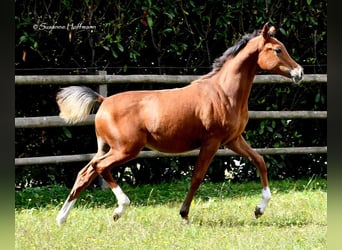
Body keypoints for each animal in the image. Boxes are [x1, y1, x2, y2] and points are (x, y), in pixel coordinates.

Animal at [55, 23, 302, 226]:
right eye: (277, 50)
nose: (299, 72)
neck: (223, 92)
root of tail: (103, 101)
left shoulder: (233, 139)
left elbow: (260, 160)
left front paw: (259, 209)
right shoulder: (212, 141)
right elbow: (197, 177)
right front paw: (184, 215)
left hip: (109, 148)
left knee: (86, 172)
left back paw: (62, 218)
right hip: (126, 149)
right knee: (99, 167)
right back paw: (119, 209)